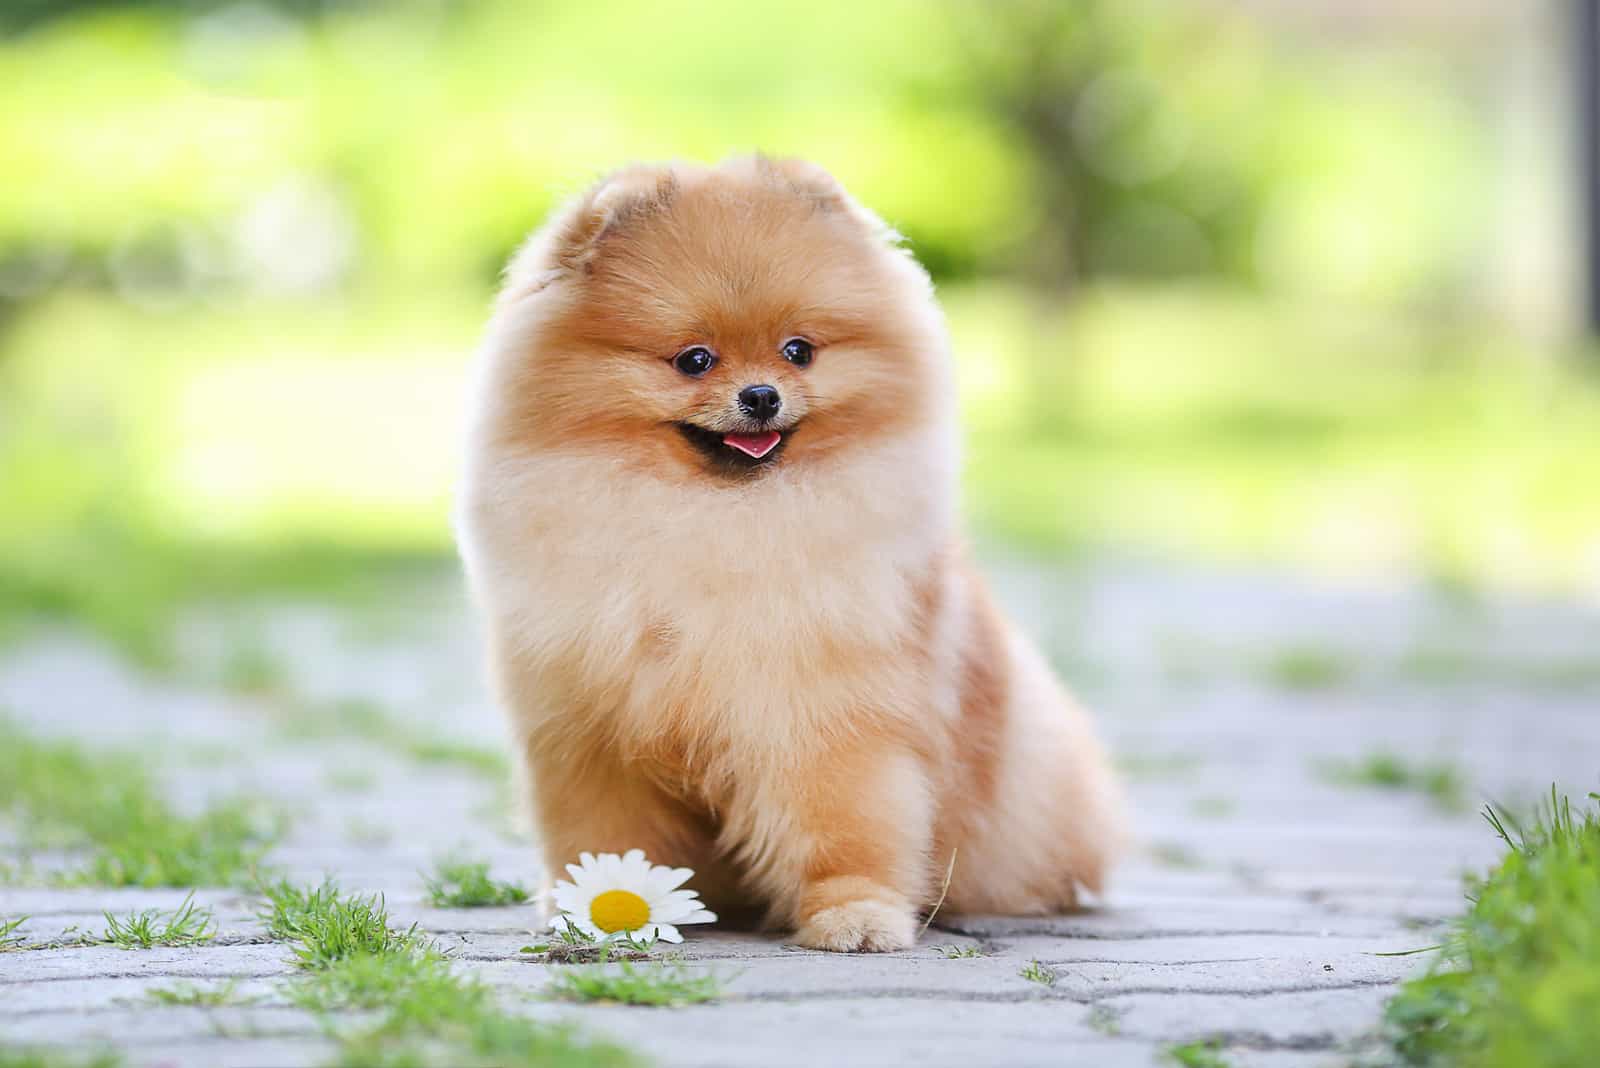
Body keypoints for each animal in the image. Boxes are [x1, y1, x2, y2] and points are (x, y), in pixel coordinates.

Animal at [457, 156, 1120, 952]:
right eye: (694, 360)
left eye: (798, 350)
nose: (762, 395)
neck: (716, 519)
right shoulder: (589, 731)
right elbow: (605, 838)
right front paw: (604, 912)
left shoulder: (823, 717)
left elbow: (846, 827)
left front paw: (855, 916)